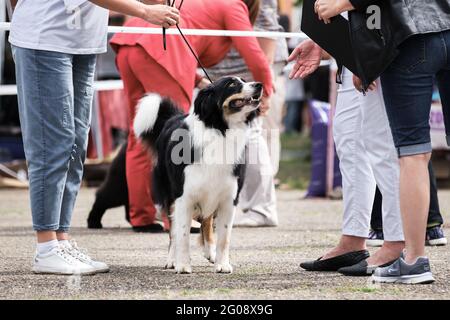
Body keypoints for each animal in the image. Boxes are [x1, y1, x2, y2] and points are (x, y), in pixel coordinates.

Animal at [134, 77, 264, 272]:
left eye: (244, 80)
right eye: (232, 84)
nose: (259, 85)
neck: (220, 131)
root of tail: (173, 118)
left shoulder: (228, 197)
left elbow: (224, 236)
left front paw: (222, 264)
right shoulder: (183, 197)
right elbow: (182, 234)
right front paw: (183, 265)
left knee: (207, 221)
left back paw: (210, 252)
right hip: (170, 195)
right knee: (173, 231)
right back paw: (172, 260)